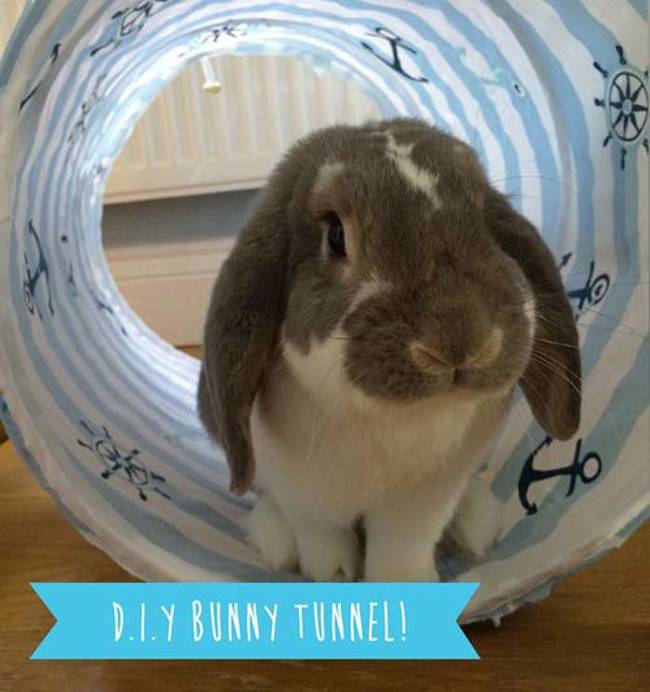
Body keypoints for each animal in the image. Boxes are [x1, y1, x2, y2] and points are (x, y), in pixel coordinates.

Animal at [197, 118, 581, 582]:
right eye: (335, 235)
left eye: (485, 223)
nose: (460, 340)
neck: (392, 419)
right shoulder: (302, 495)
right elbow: (322, 540)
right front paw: (332, 576)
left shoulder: (425, 501)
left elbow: (401, 547)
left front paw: (408, 581)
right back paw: (274, 544)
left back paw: (475, 527)